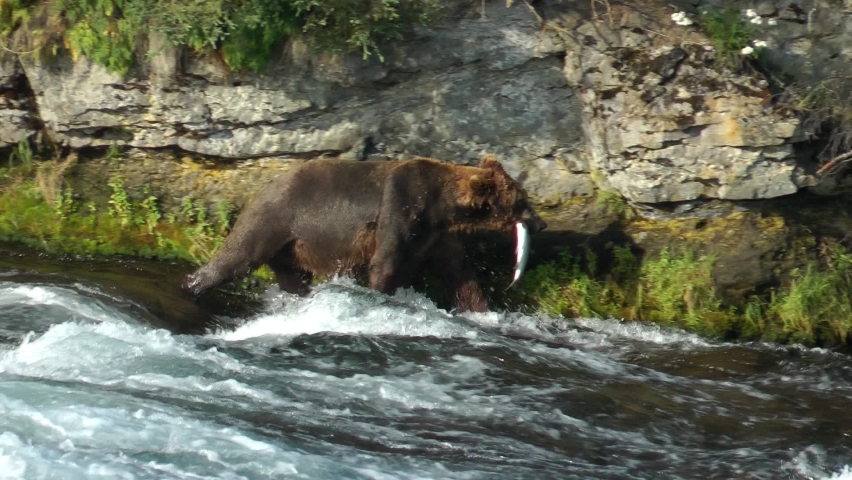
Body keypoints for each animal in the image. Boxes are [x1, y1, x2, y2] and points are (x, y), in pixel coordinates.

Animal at [180, 154, 547, 312]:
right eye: (522, 201)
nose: (541, 224)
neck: (440, 205)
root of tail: (260, 187)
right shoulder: (398, 209)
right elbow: (385, 264)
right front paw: (381, 295)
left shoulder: (438, 236)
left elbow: (460, 274)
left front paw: (482, 309)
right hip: (274, 219)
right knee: (237, 255)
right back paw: (190, 287)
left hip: (290, 247)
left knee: (292, 278)